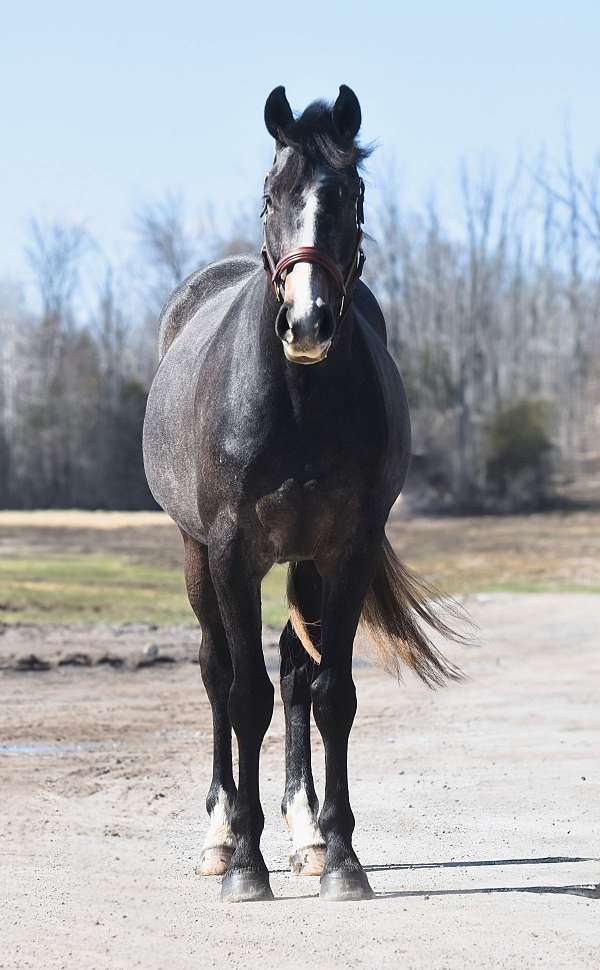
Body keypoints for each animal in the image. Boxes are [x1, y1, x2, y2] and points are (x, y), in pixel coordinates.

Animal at [143, 84, 460, 903]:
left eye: (350, 195)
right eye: (272, 194)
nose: (308, 322)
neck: (297, 401)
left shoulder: (344, 549)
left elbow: (330, 693)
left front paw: (341, 857)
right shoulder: (230, 551)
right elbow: (242, 695)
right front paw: (244, 866)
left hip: (304, 562)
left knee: (293, 673)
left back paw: (305, 833)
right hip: (195, 555)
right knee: (217, 672)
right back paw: (221, 835)